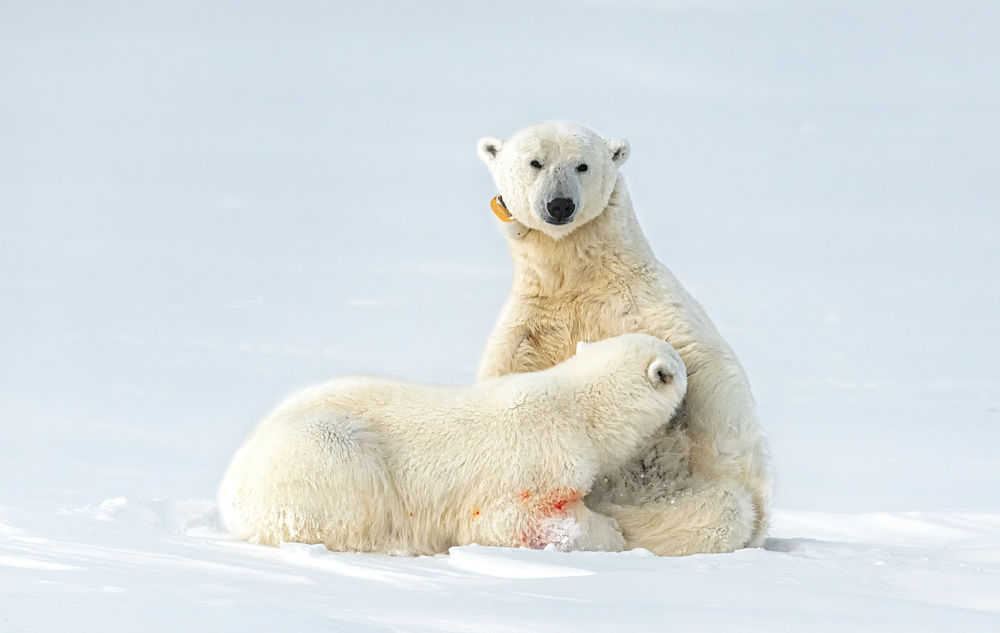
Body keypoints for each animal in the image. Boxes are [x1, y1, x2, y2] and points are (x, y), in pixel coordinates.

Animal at [219, 334, 688, 556]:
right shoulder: (534, 463)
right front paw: (610, 532)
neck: (578, 411)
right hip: (321, 455)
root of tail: (230, 488)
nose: (688, 366)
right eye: (679, 367)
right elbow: (509, 523)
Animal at [476, 121, 772, 556]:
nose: (560, 205)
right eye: (535, 162)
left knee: (717, 512)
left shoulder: (647, 307)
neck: (578, 279)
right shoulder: (531, 327)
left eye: (582, 165)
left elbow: (707, 371)